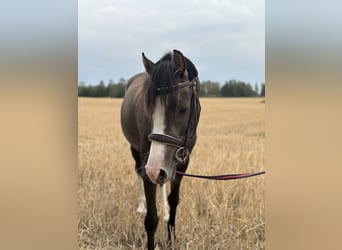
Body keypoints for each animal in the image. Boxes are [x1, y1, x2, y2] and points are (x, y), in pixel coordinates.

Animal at [120, 49, 200, 248]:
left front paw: (171, 239)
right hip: (137, 152)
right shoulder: (148, 162)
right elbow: (150, 220)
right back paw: (141, 206)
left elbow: (174, 200)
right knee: (139, 172)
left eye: (183, 108)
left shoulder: (182, 161)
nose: (155, 169)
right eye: (149, 110)